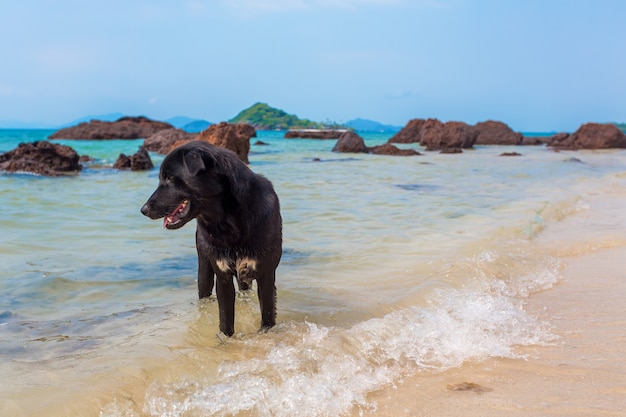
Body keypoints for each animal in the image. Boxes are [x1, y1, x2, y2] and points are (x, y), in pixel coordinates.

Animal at [140, 141, 282, 336]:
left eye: (169, 178)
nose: (143, 210)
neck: (229, 221)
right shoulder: (222, 276)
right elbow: (225, 319)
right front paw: (225, 340)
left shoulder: (266, 274)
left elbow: (267, 316)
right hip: (204, 269)